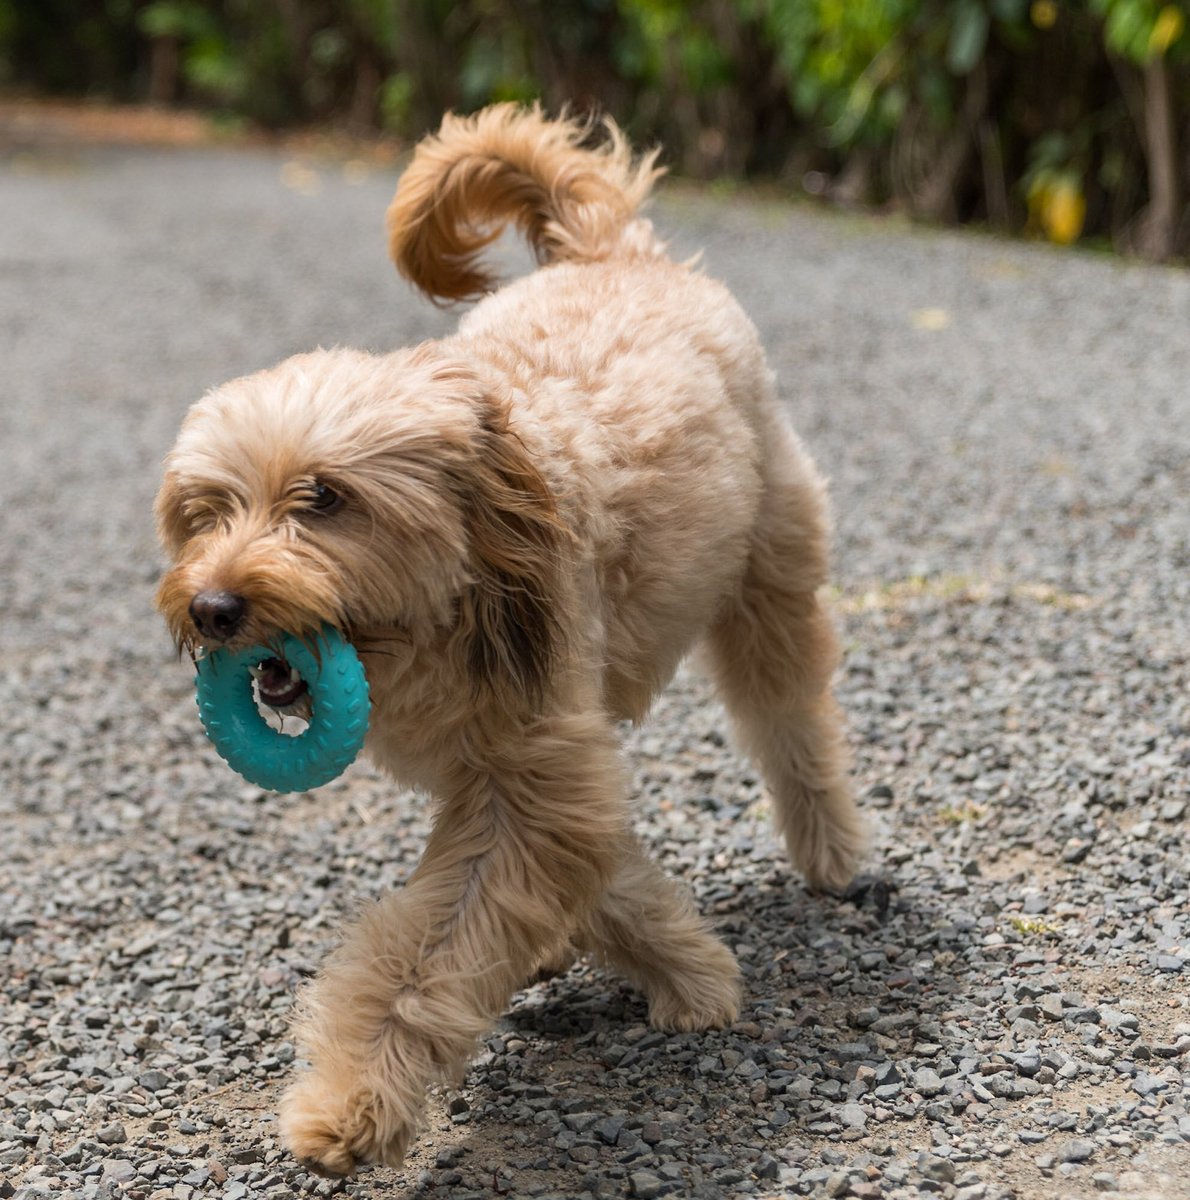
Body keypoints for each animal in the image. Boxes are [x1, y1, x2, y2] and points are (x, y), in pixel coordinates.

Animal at [155, 108, 863, 1176]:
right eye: (204, 511)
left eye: (324, 498)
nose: (212, 607)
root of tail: (614, 250)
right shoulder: (523, 771)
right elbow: (593, 869)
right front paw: (682, 961)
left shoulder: (530, 773)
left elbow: (430, 953)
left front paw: (352, 1102)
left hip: (767, 572)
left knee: (790, 714)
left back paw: (831, 848)